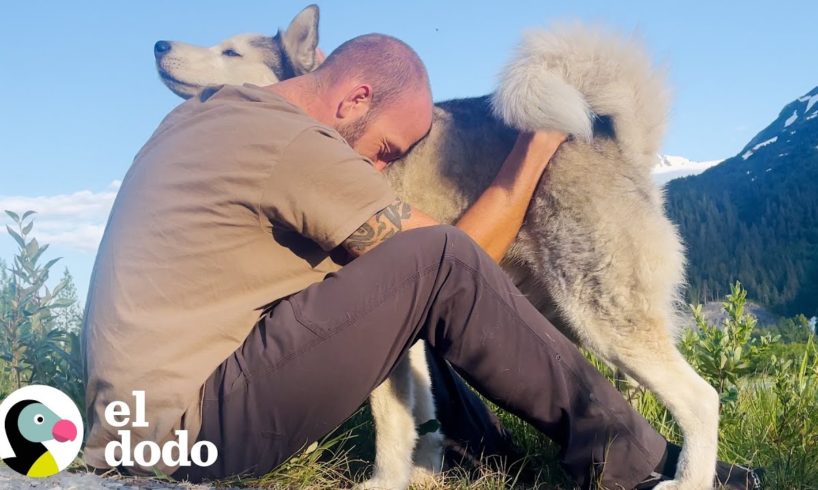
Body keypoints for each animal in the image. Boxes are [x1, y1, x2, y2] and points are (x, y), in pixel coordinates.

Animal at [156, 4, 716, 490]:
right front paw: (422, 471)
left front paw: (386, 481)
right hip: (576, 321)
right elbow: (420, 412)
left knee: (702, 399)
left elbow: (390, 419)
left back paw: (688, 479)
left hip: (600, 317)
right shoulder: (413, 329)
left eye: (230, 52)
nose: (159, 43)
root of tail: (616, 145)